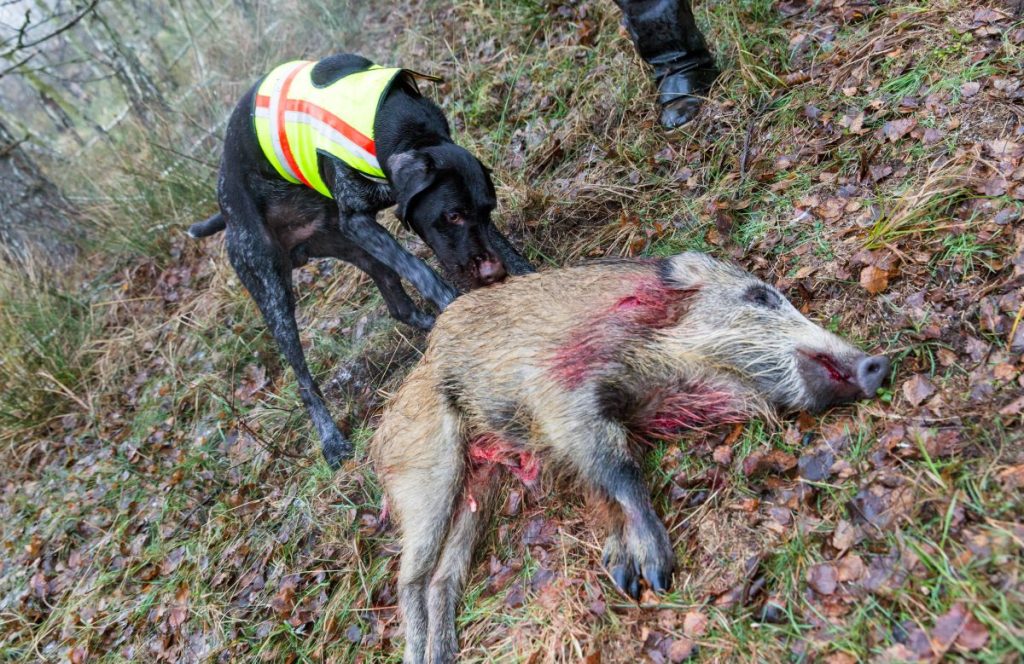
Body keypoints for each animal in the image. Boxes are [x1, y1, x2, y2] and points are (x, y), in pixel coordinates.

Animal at [187, 54, 532, 467]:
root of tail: (224, 208)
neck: (393, 125)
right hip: (273, 289)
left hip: (360, 250)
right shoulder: (358, 220)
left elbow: (500, 244)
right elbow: (421, 269)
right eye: (452, 215)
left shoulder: (363, 226)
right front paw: (452, 301)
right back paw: (331, 440)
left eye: (486, 210)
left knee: (399, 306)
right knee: (304, 380)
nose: (493, 274)